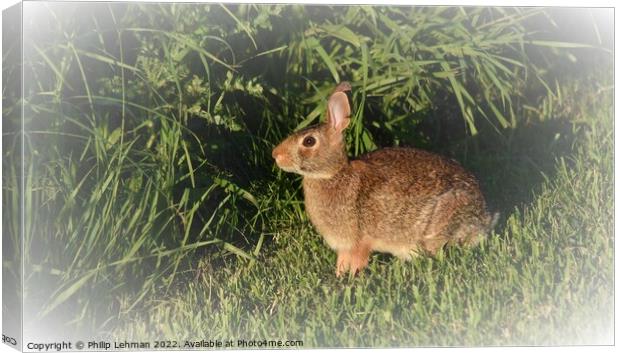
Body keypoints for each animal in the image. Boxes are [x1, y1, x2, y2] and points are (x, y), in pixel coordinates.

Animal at [274, 81, 496, 276]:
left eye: (309, 141)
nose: (275, 155)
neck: (333, 174)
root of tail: (483, 218)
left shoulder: (361, 241)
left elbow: (358, 260)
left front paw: (352, 279)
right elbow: (342, 261)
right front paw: (339, 276)